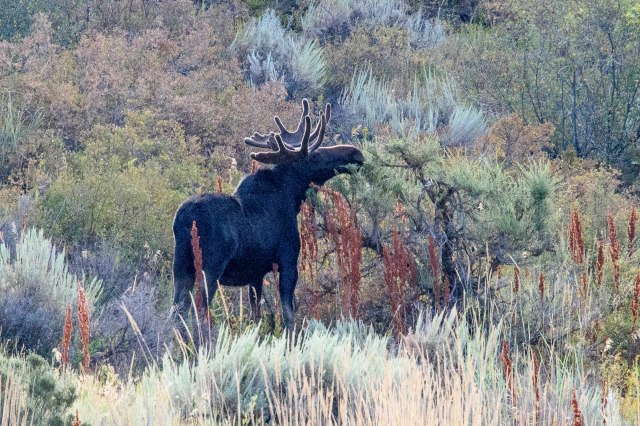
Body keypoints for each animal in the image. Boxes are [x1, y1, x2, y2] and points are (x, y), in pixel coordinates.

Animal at [172, 100, 364, 331]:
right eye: (316, 154)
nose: (356, 153)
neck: (292, 197)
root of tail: (183, 220)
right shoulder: (288, 260)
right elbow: (288, 315)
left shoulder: (256, 273)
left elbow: (256, 315)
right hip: (210, 266)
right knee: (198, 312)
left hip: (180, 267)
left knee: (176, 313)